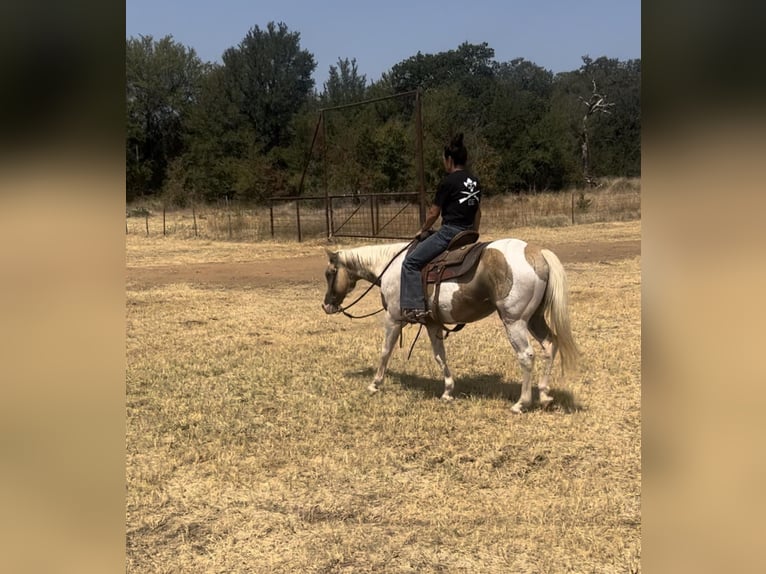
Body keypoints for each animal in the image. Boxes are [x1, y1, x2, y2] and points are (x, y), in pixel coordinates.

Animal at [320, 236, 580, 416]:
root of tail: (537, 253)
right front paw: (447, 391)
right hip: (534, 318)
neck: (390, 266)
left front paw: (375, 384)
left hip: (514, 320)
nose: (326, 305)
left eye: (330, 273)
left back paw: (521, 403)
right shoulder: (433, 323)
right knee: (550, 346)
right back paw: (544, 395)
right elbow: (439, 356)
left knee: (526, 355)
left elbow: (385, 351)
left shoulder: (393, 318)